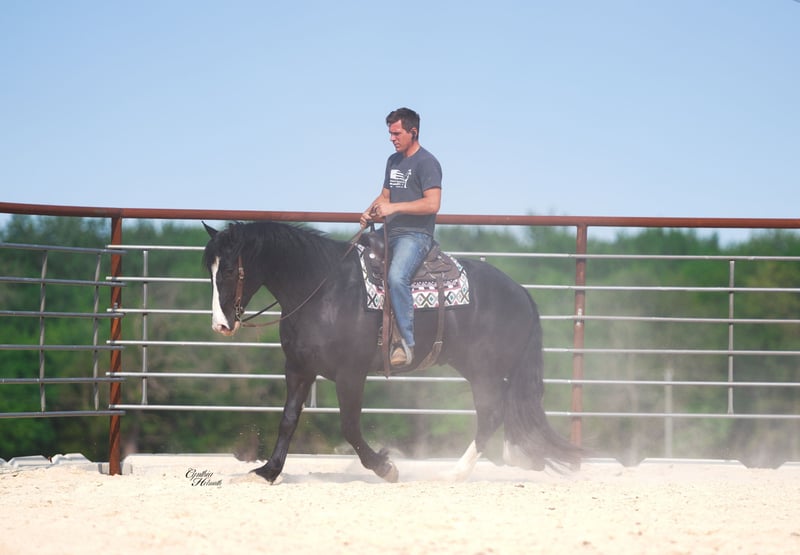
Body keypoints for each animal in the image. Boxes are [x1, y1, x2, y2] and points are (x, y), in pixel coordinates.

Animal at [203, 221, 581, 483]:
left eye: (229, 269)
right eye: (210, 270)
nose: (221, 325)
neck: (323, 289)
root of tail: (521, 292)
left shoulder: (350, 373)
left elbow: (350, 427)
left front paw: (385, 467)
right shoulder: (298, 368)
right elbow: (288, 420)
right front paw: (268, 471)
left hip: (484, 371)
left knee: (490, 415)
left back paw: (454, 474)